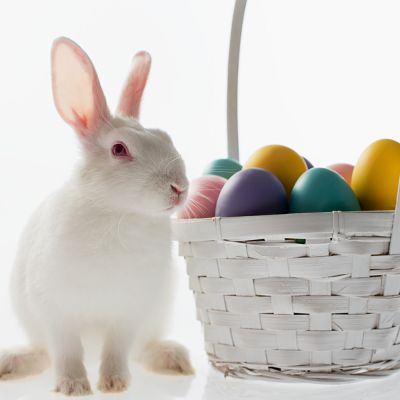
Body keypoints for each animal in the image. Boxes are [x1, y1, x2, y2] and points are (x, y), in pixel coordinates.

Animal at [0, 37, 194, 396]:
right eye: (119, 149)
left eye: (166, 137)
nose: (179, 187)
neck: (118, 213)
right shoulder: (56, 307)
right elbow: (66, 349)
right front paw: (73, 386)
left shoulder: (130, 308)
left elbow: (117, 347)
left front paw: (115, 383)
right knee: (45, 352)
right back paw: (12, 363)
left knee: (142, 348)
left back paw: (173, 359)